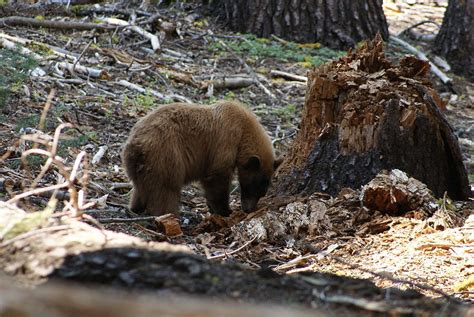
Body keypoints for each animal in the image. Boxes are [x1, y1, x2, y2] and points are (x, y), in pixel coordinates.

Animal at [122, 100, 282, 216]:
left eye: (262, 192)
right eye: (252, 187)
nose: (248, 209)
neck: (244, 129)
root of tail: (138, 144)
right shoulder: (226, 140)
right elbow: (217, 176)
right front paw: (224, 210)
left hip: (139, 162)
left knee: (141, 186)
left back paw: (136, 207)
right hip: (166, 154)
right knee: (166, 188)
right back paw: (168, 214)